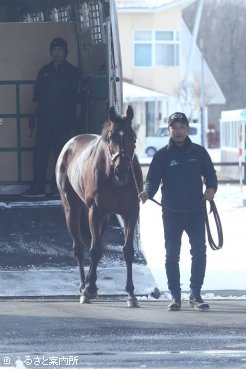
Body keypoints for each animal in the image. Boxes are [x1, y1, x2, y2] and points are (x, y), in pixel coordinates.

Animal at [55, 105, 144, 306]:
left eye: (133, 137)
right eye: (110, 137)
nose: (122, 171)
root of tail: (70, 144)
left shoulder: (131, 212)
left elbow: (127, 251)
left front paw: (131, 294)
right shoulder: (95, 211)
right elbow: (94, 251)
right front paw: (88, 290)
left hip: (104, 218)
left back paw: (91, 283)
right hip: (73, 209)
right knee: (80, 248)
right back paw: (84, 286)